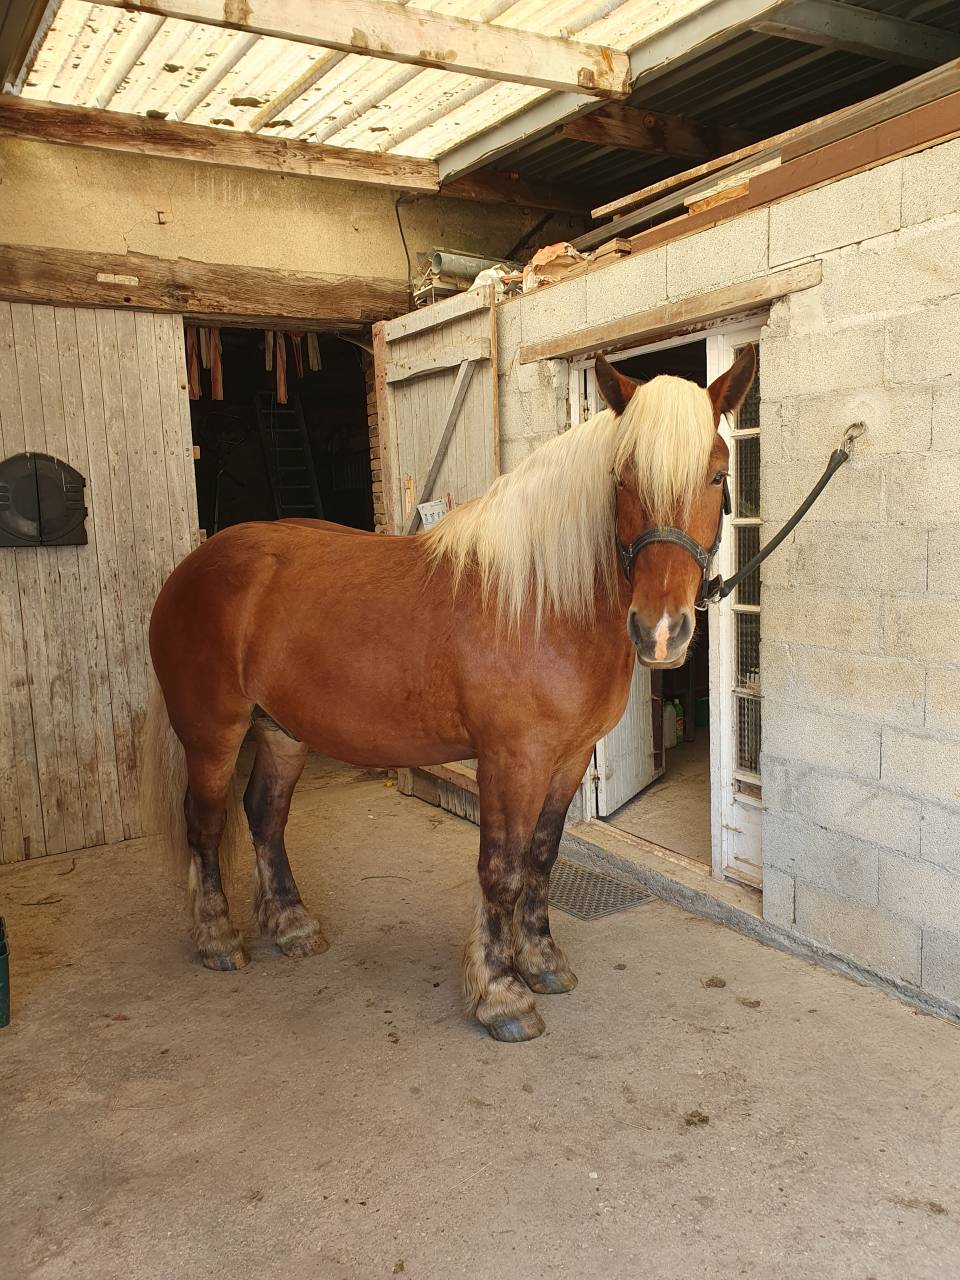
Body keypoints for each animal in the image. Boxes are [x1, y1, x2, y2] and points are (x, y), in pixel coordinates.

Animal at [142, 346, 756, 1042]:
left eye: (717, 475)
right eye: (623, 479)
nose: (660, 630)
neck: (541, 603)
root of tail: (192, 567)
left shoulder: (568, 759)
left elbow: (542, 857)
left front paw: (542, 962)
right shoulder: (510, 762)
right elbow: (501, 869)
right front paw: (501, 995)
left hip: (280, 729)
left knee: (265, 816)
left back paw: (293, 926)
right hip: (212, 733)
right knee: (206, 823)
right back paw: (219, 939)